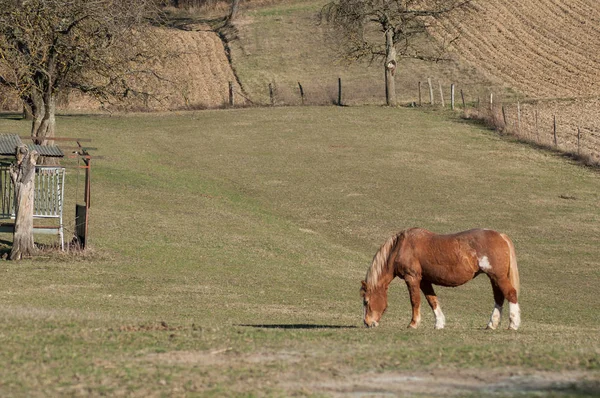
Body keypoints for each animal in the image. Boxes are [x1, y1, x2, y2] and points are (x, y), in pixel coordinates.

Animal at [360, 229, 520, 332]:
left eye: (366, 301)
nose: (367, 323)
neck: (401, 247)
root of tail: (501, 236)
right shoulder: (425, 280)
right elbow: (432, 300)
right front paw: (439, 323)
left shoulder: (412, 278)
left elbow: (415, 301)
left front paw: (413, 324)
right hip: (494, 277)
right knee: (499, 298)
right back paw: (492, 324)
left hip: (498, 277)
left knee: (511, 293)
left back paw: (513, 324)